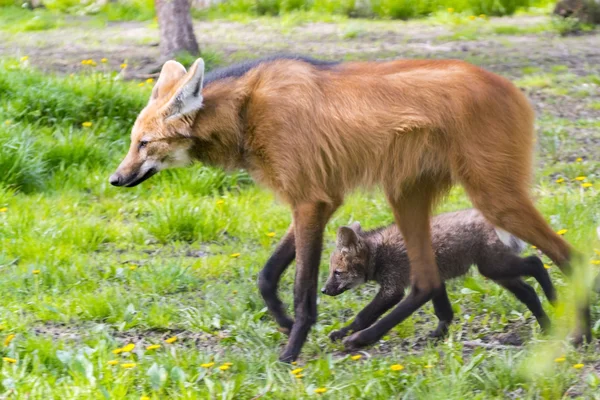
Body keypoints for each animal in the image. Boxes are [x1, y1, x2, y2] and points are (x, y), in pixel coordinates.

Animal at [324, 209, 556, 344]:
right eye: (331, 272)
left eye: (337, 273)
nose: (324, 290)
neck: (380, 253)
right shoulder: (433, 282)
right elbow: (444, 312)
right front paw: (439, 335)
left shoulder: (400, 289)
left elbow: (375, 318)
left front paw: (356, 339)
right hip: (497, 271)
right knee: (529, 291)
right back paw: (548, 327)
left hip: (494, 268)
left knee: (536, 262)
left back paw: (555, 300)